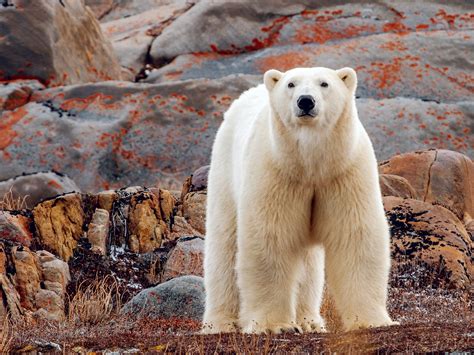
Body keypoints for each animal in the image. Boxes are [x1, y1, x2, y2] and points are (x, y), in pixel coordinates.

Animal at [201, 66, 396, 334]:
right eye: (291, 84)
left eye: (324, 83)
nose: (305, 101)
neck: (309, 165)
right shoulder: (277, 173)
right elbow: (271, 237)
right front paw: (273, 325)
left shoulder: (344, 173)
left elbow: (354, 235)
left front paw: (373, 320)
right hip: (225, 168)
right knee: (224, 247)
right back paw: (220, 323)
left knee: (308, 264)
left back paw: (310, 321)